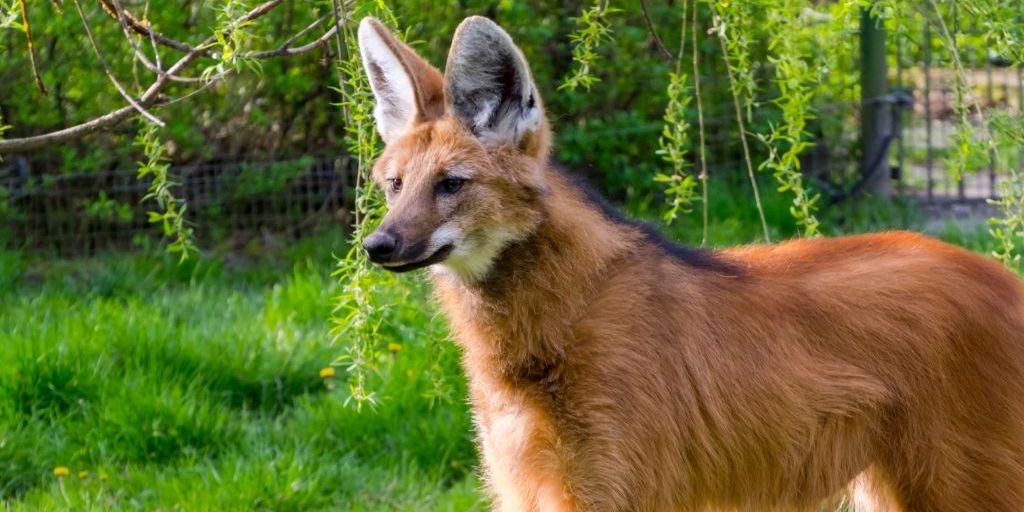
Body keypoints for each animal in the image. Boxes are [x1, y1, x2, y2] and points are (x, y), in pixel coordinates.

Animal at [356, 15, 1024, 512]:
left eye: (451, 184)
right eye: (393, 186)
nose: (377, 246)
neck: (556, 320)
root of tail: (1002, 277)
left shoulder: (615, 486)